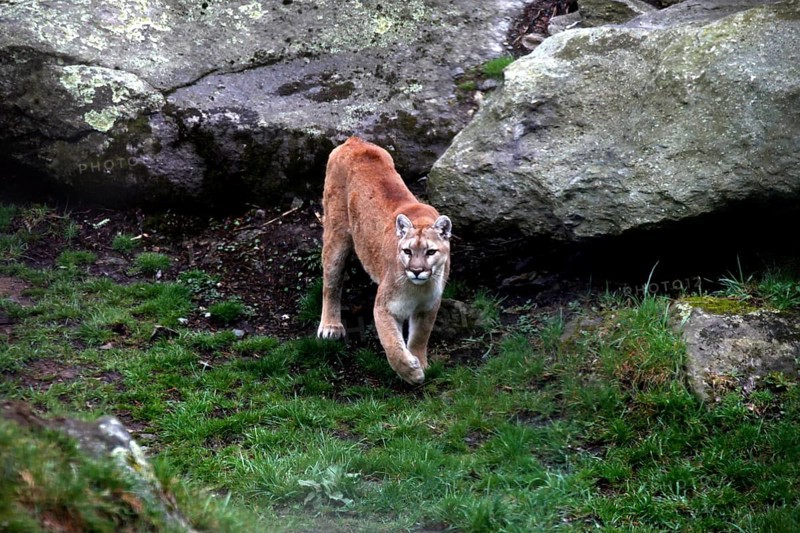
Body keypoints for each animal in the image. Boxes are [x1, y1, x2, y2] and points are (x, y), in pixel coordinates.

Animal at [317, 136, 452, 384]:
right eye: (407, 251)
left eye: (430, 252)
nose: (416, 271)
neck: (419, 288)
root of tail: (354, 141)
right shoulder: (385, 307)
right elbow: (392, 345)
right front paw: (411, 372)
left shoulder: (429, 306)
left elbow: (420, 336)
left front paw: (421, 363)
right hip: (336, 236)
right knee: (331, 284)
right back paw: (331, 326)